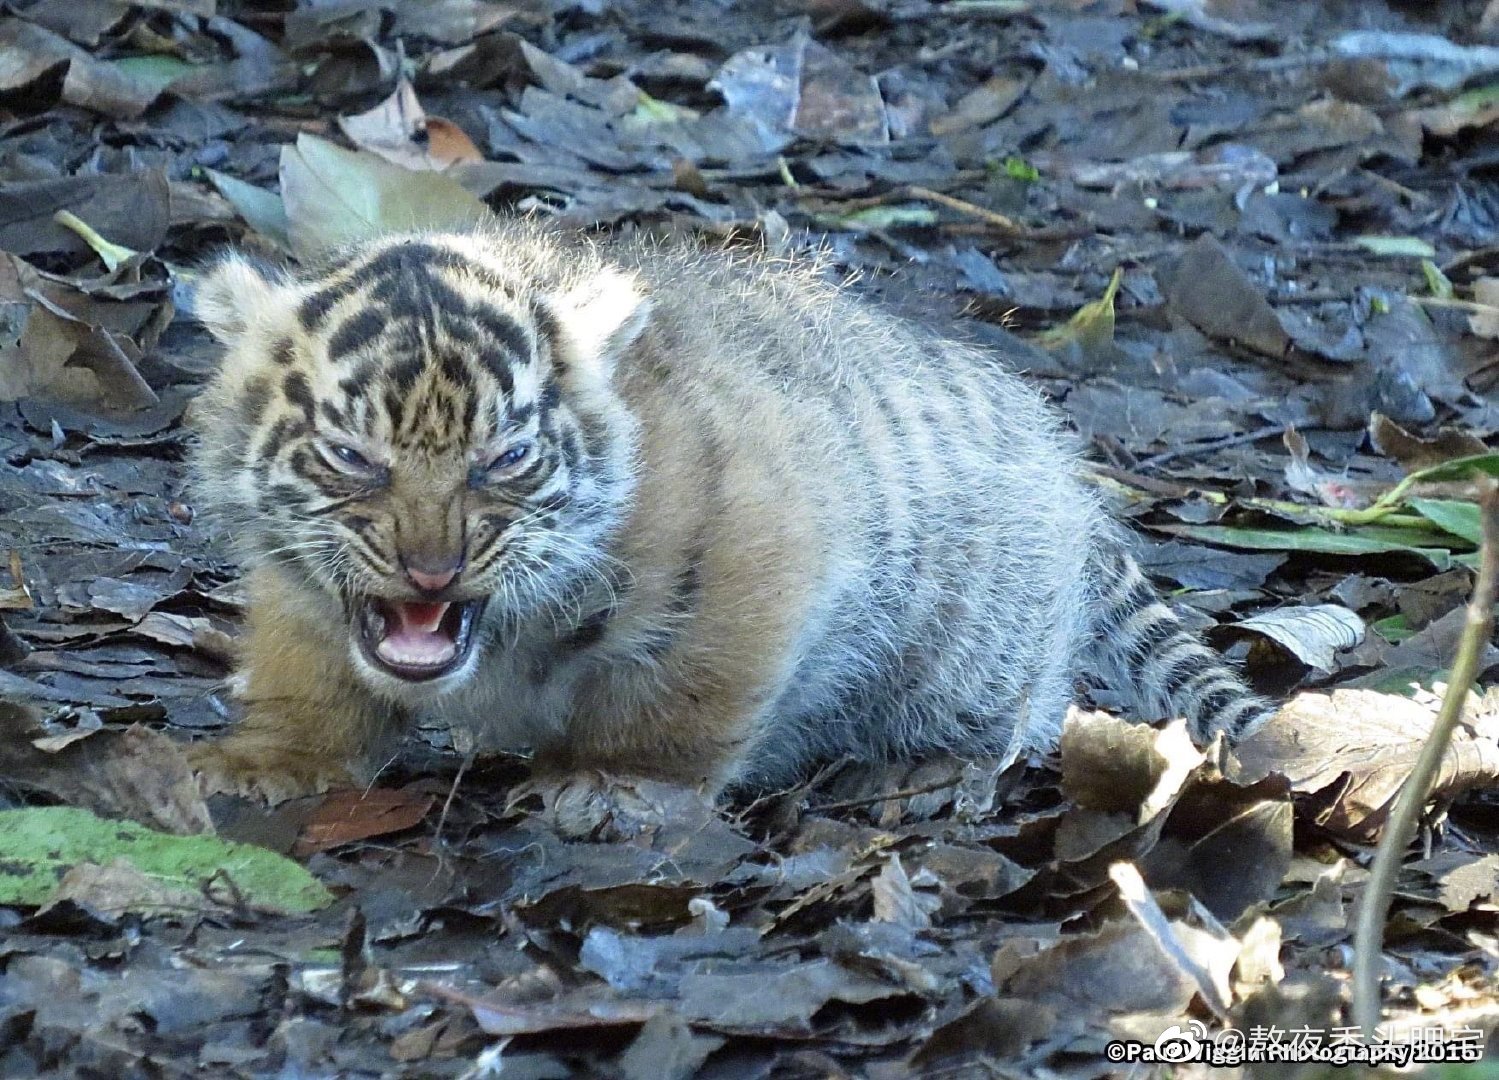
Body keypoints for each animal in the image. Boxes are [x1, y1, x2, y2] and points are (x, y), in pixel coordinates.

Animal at [184, 218, 1272, 804]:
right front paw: (268, 761)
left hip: (980, 649)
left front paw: (615, 792)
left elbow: (682, 702)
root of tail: (1059, 458)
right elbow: (309, 674)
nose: (430, 570)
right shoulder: (306, 595)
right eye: (351, 458)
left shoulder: (754, 562)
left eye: (506, 460)